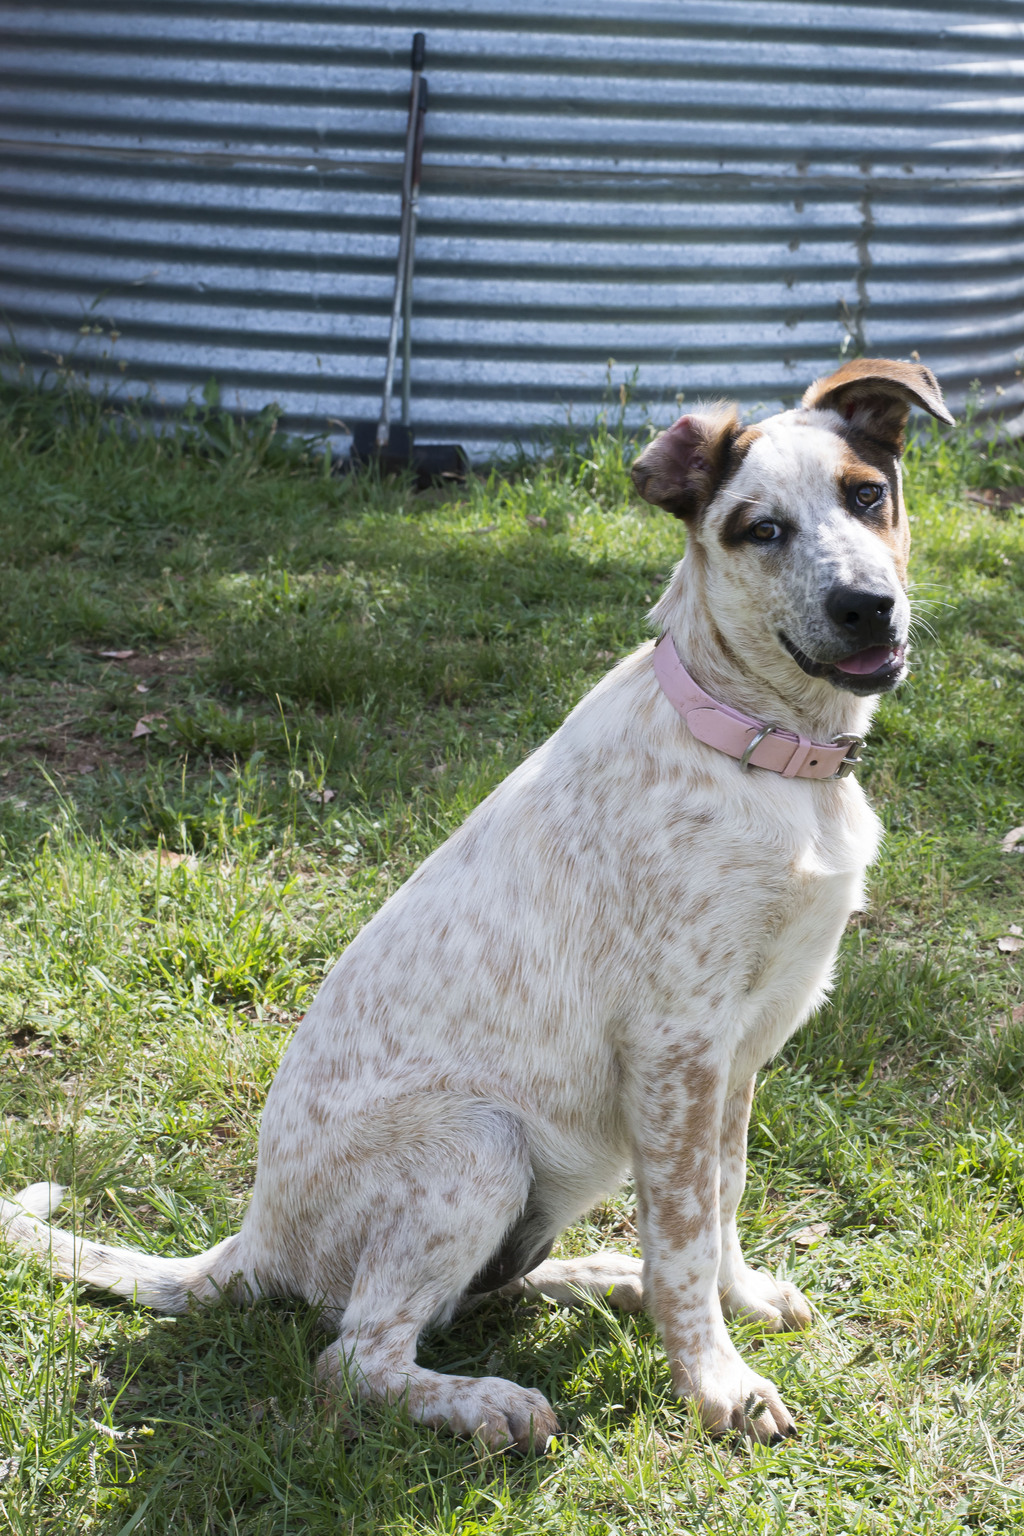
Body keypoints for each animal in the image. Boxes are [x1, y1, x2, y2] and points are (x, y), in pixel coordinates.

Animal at [2, 358, 952, 1451]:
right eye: (760, 530)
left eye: (867, 495)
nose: (866, 607)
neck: (763, 750)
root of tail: (251, 1240)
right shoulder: (676, 1047)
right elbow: (682, 1233)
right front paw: (716, 1383)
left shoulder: (741, 1054)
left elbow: (719, 1204)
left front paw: (737, 1302)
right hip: (479, 1147)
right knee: (351, 1360)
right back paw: (494, 1404)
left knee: (469, 1298)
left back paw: (601, 1280)